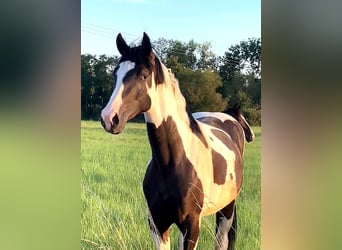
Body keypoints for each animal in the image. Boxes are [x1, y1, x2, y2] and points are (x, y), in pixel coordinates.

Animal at [99, 32, 254, 249]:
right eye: (115, 74)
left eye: (144, 75)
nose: (109, 118)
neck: (172, 161)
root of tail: (230, 117)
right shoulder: (157, 224)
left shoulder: (192, 224)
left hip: (227, 210)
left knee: (221, 241)